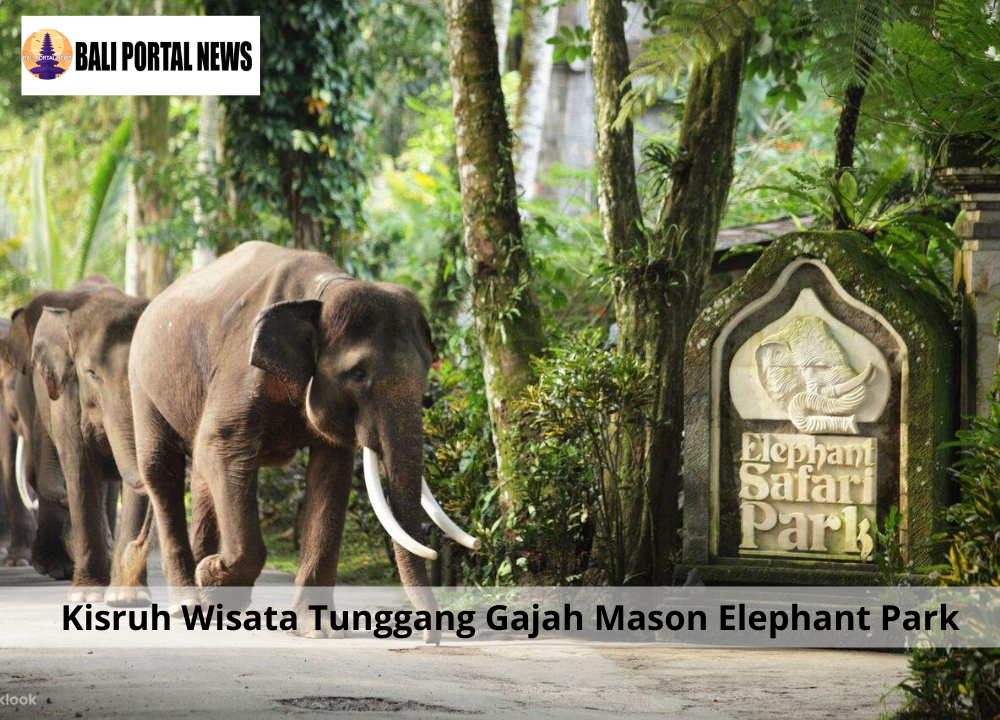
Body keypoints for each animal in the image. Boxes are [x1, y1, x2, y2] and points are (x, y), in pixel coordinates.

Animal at [128, 241, 478, 640]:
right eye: (359, 374)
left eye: (426, 371)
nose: (429, 637)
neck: (323, 291)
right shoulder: (239, 369)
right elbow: (223, 446)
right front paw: (211, 574)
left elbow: (331, 472)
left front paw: (317, 629)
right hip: (141, 381)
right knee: (162, 469)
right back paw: (188, 600)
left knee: (201, 477)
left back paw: (216, 605)